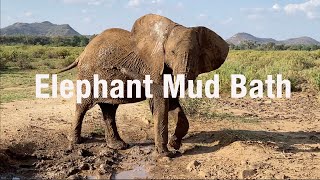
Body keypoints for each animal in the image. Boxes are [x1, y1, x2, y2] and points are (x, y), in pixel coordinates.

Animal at [57, 13, 228, 158]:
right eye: (172, 52)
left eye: (198, 55)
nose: (117, 67)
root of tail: (81, 54)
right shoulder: (153, 65)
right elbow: (160, 101)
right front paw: (165, 154)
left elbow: (171, 101)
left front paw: (174, 144)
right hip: (88, 74)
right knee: (83, 106)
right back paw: (75, 141)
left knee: (109, 109)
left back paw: (118, 146)